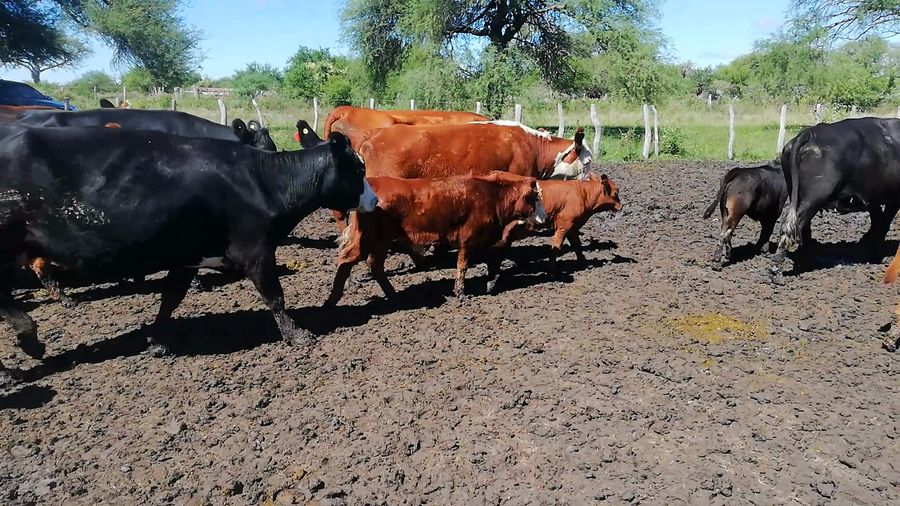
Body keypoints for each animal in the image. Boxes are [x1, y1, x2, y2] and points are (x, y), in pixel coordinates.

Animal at [0, 125, 377, 384]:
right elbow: (275, 297)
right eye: (359, 171)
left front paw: (156, 340)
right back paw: (26, 342)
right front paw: (297, 335)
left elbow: (170, 298)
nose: (375, 200)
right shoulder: (255, 251)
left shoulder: (187, 257)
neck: (262, 181)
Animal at [324, 172, 548, 307]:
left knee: (374, 264)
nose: (545, 217)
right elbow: (462, 265)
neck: (491, 196)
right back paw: (333, 299)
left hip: (381, 241)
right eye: (536, 198)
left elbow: (494, 261)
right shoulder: (468, 238)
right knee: (346, 260)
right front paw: (460, 292)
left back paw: (393, 295)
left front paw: (491, 283)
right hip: (369, 239)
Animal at [771, 118, 900, 275]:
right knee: (792, 226)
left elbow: (878, 222)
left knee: (802, 227)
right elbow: (883, 224)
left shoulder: (872, 199)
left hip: (798, 195)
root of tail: (811, 132)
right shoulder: (893, 198)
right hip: (814, 198)